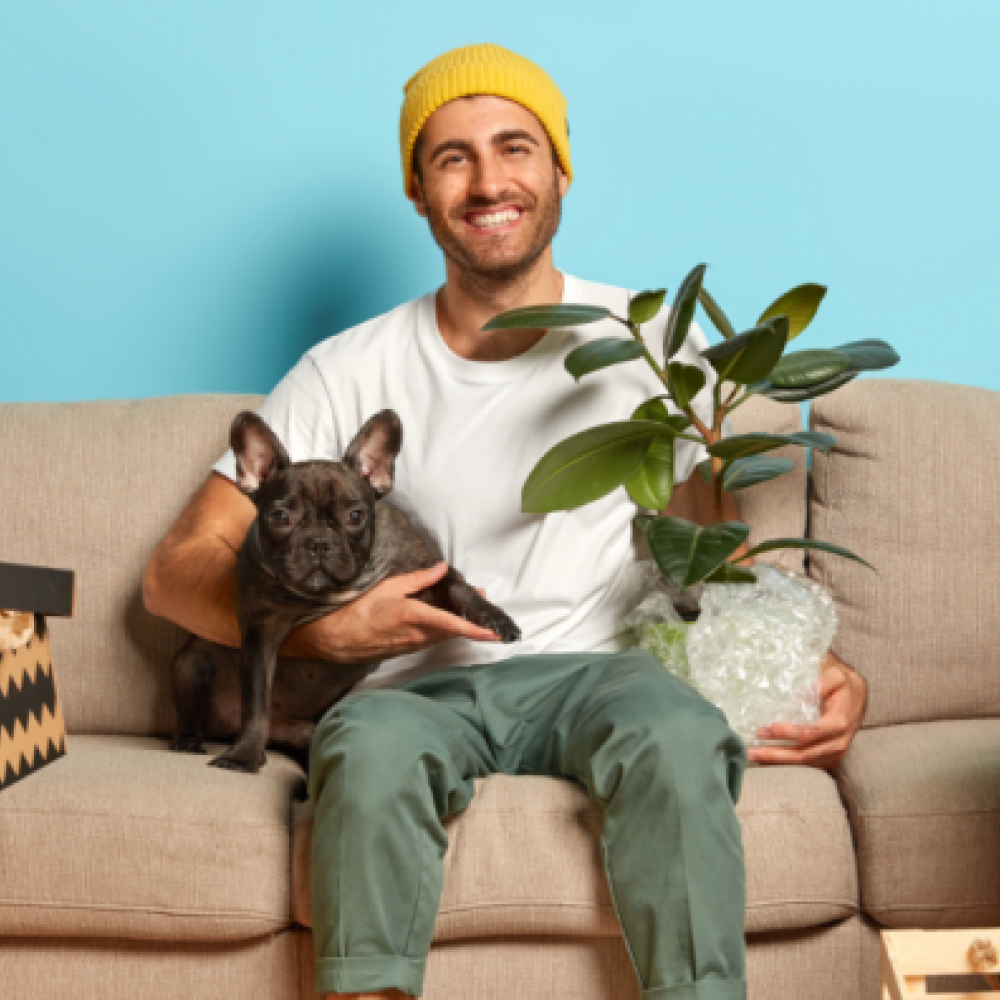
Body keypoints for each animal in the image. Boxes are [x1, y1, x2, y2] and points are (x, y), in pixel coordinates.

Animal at [168, 406, 520, 772]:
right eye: (279, 516)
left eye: (355, 516)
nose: (319, 542)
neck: (332, 592)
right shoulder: (258, 634)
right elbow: (255, 704)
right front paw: (244, 754)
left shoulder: (427, 574)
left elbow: (458, 587)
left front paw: (495, 617)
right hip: (191, 663)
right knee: (193, 712)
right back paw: (189, 741)